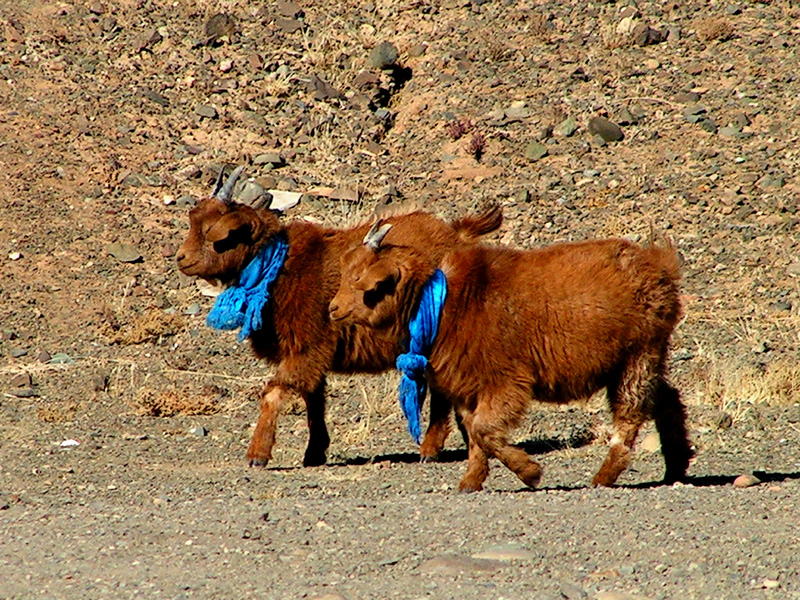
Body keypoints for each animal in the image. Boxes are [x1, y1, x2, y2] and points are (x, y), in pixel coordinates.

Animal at [177, 166, 500, 466]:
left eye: (213, 231)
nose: (181, 258)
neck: (279, 267)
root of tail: (459, 235)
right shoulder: (310, 354)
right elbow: (313, 399)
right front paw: (314, 452)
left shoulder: (308, 347)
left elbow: (274, 392)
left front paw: (257, 455)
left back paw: (432, 449)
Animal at [328, 230, 692, 492]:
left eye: (362, 279)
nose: (333, 308)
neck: (447, 303)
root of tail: (660, 264)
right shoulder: (468, 387)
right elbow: (475, 432)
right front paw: (471, 482)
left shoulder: (505, 381)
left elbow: (484, 429)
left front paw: (530, 472)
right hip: (639, 359)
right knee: (666, 399)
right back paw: (676, 466)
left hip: (639, 353)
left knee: (631, 413)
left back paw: (605, 476)